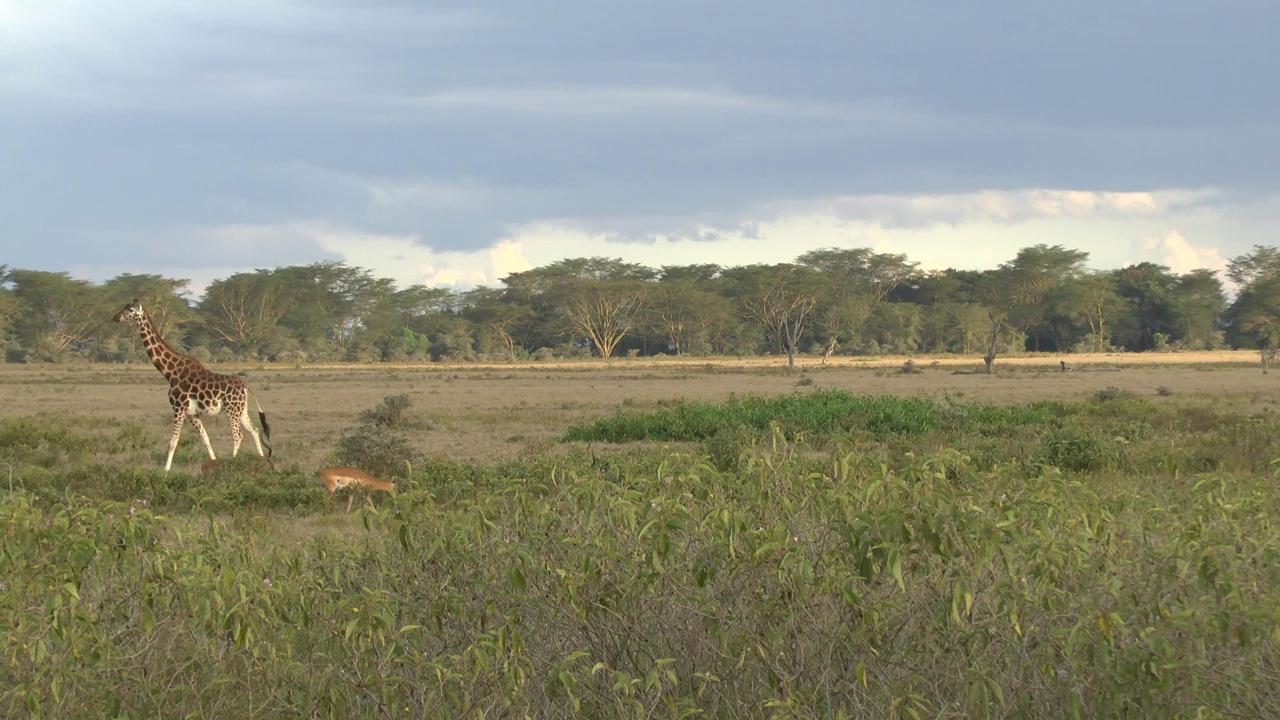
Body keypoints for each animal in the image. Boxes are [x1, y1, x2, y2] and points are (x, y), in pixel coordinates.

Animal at [113, 297, 272, 471]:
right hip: (241, 410)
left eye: (131, 310)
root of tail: (245, 386)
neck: (170, 372)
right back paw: (261, 460)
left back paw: (233, 463)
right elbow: (205, 438)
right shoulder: (192, 413)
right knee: (254, 430)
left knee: (238, 436)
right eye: (125, 307)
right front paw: (212, 463)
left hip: (232, 410)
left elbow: (173, 442)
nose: (116, 317)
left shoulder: (178, 408)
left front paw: (165, 470)